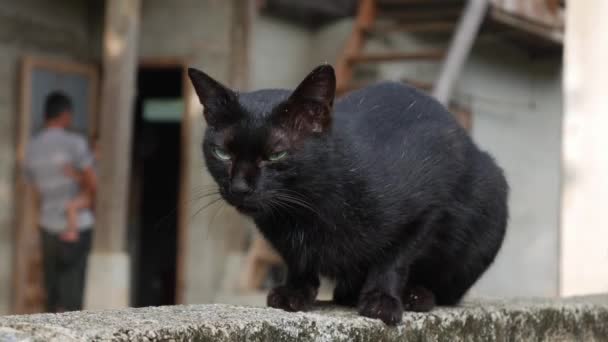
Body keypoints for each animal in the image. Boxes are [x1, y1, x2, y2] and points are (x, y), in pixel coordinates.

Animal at [189, 65, 508, 326]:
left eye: (276, 154)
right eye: (222, 153)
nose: (239, 188)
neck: (307, 208)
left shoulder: (428, 209)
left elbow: (395, 258)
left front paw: (382, 300)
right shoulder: (284, 237)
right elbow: (297, 259)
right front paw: (295, 291)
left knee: (447, 289)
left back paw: (417, 295)